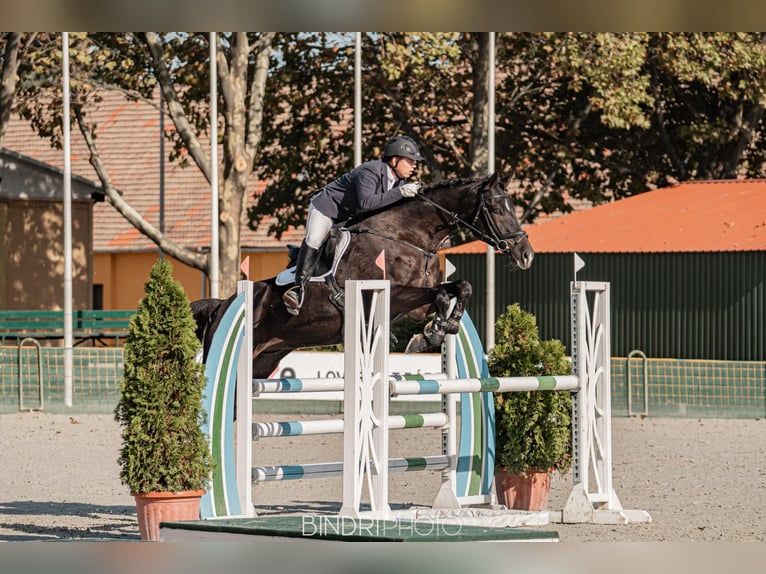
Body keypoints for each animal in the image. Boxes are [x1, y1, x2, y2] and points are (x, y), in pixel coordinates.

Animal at [194, 173, 536, 380]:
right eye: (496, 208)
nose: (527, 255)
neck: (406, 236)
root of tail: (222, 305)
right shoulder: (389, 294)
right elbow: (441, 294)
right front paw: (430, 334)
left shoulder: (416, 305)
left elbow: (458, 288)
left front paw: (438, 330)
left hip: (263, 361)